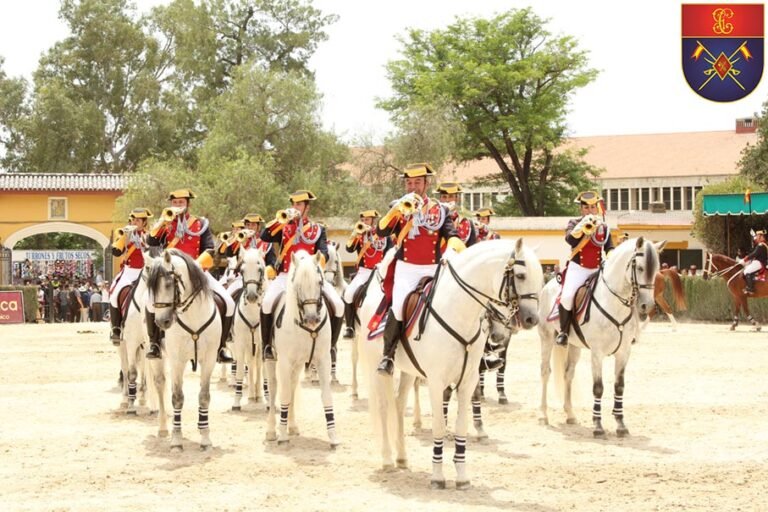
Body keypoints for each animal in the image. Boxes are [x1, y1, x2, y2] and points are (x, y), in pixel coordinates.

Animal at [146, 249, 222, 452]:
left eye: (168, 284)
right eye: (151, 288)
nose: (161, 322)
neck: (193, 315)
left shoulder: (209, 359)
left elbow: (204, 396)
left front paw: (205, 438)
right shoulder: (177, 361)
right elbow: (177, 397)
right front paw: (176, 440)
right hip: (158, 358)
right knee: (160, 384)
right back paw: (163, 428)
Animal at [266, 251, 340, 448]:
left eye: (319, 282)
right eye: (297, 285)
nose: (312, 318)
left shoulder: (323, 360)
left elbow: (327, 396)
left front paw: (333, 436)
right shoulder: (284, 362)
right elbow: (283, 395)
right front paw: (282, 435)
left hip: (298, 364)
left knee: (292, 387)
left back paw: (292, 426)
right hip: (271, 360)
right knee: (274, 389)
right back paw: (272, 431)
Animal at [358, 239, 540, 488]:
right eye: (521, 276)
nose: (532, 319)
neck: (460, 313)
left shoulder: (468, 380)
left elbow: (461, 425)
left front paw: (462, 476)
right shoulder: (436, 382)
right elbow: (439, 426)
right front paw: (437, 476)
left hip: (408, 371)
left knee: (398, 404)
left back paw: (402, 458)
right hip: (376, 366)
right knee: (384, 406)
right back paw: (387, 460)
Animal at [540, 236, 660, 436]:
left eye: (656, 270)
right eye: (641, 268)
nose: (647, 306)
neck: (614, 301)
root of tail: (548, 284)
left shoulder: (624, 352)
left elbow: (619, 386)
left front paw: (620, 424)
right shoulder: (597, 353)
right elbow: (598, 388)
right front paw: (597, 425)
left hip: (574, 345)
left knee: (568, 374)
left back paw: (570, 414)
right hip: (547, 338)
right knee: (545, 371)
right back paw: (543, 415)